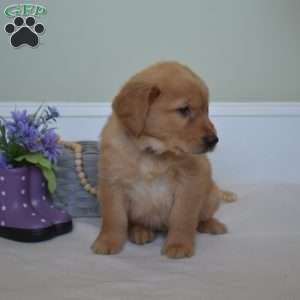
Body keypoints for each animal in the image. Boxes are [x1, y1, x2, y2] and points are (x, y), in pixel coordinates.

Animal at [91, 60, 237, 258]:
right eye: (184, 109)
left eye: (206, 110)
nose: (214, 140)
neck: (152, 152)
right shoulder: (112, 182)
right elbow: (113, 218)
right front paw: (107, 241)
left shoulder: (191, 181)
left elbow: (183, 217)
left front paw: (179, 244)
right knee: (136, 222)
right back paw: (140, 231)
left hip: (211, 195)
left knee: (201, 218)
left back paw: (211, 224)